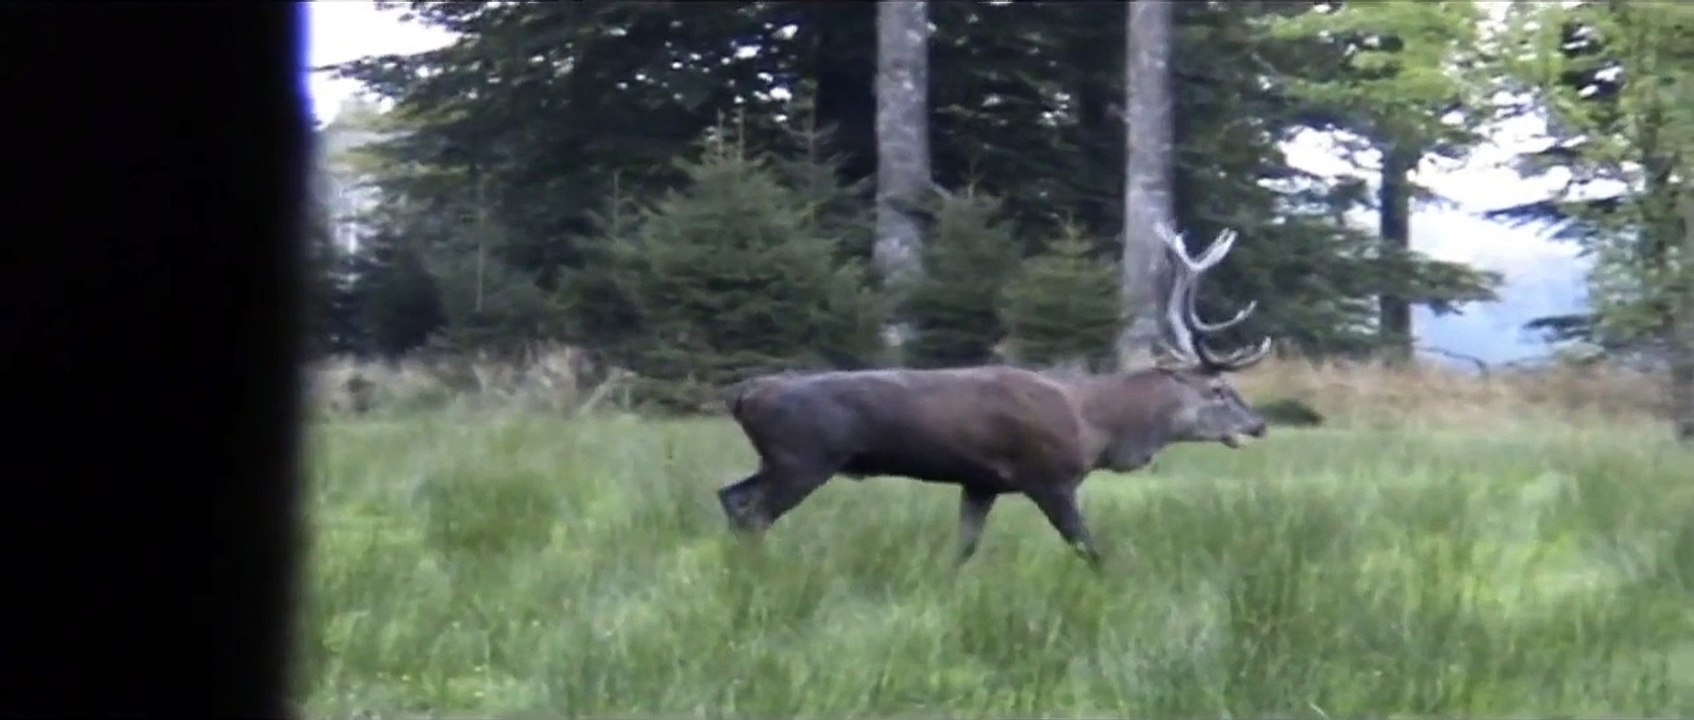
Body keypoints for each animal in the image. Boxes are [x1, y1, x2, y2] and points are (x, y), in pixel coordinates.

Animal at [715, 223, 1273, 570]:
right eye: (1220, 390)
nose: (1260, 425)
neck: (1098, 427)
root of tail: (745, 395)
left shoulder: (980, 482)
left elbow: (962, 549)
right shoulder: (1048, 477)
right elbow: (1088, 548)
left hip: (780, 460)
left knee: (732, 496)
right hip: (805, 457)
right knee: (753, 512)